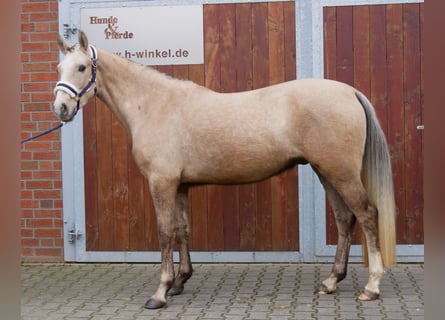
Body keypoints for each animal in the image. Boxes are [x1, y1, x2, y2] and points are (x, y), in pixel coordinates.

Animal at [53, 31, 396, 308]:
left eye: (82, 67)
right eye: (59, 68)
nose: (61, 109)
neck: (154, 105)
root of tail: (350, 92)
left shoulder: (162, 183)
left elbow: (165, 232)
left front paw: (160, 293)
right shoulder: (180, 185)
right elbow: (183, 229)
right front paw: (180, 281)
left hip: (341, 173)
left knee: (367, 215)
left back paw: (371, 286)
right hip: (327, 172)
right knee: (344, 219)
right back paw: (331, 281)